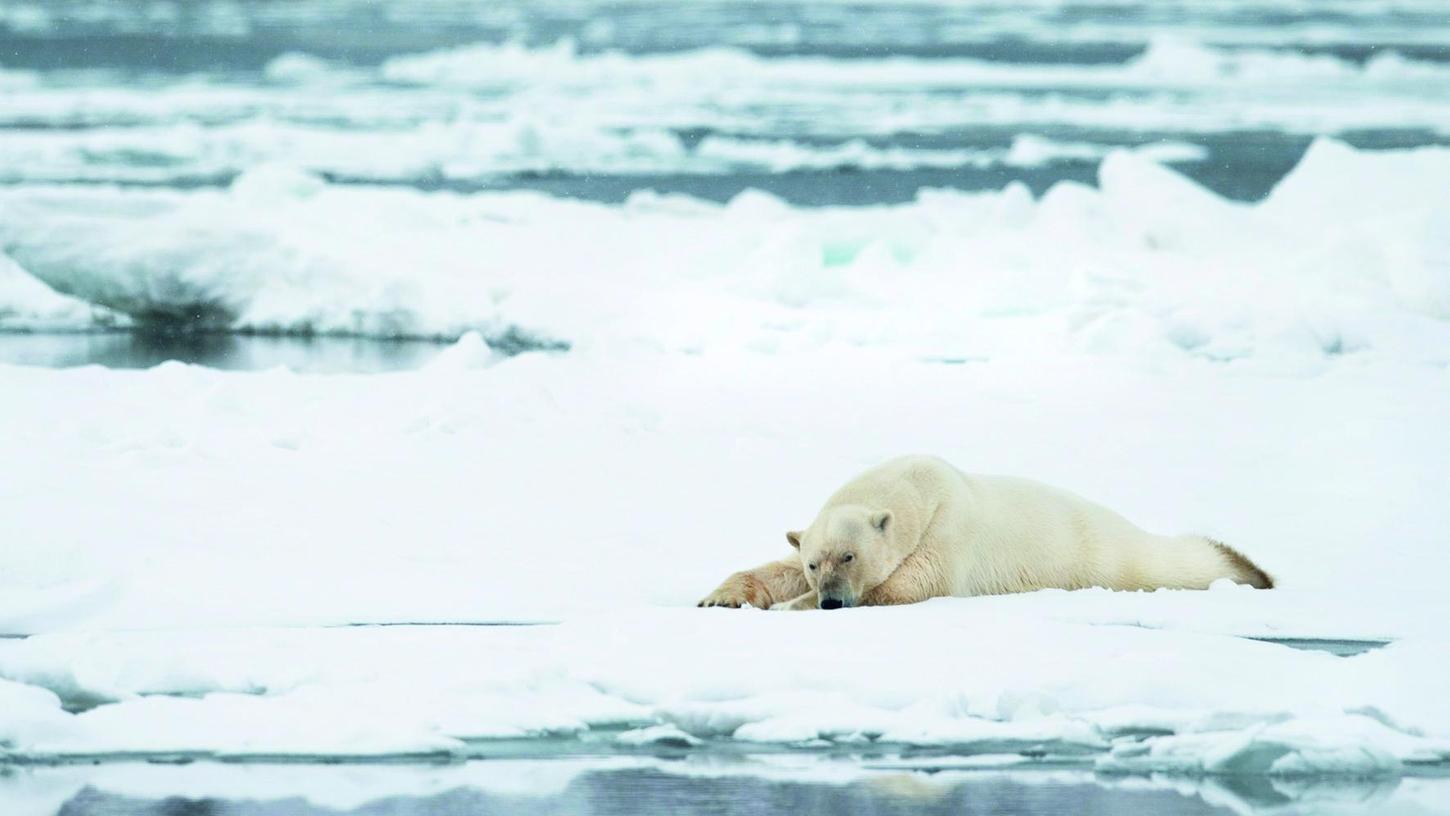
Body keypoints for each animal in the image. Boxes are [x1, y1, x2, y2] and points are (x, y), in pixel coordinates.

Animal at [696, 458, 1276, 608]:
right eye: (817, 561)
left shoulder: (950, 531)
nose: (830, 600)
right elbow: (777, 568)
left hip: (1108, 554)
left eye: (850, 557)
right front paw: (720, 597)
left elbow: (913, 583)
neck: (918, 485)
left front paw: (788, 608)